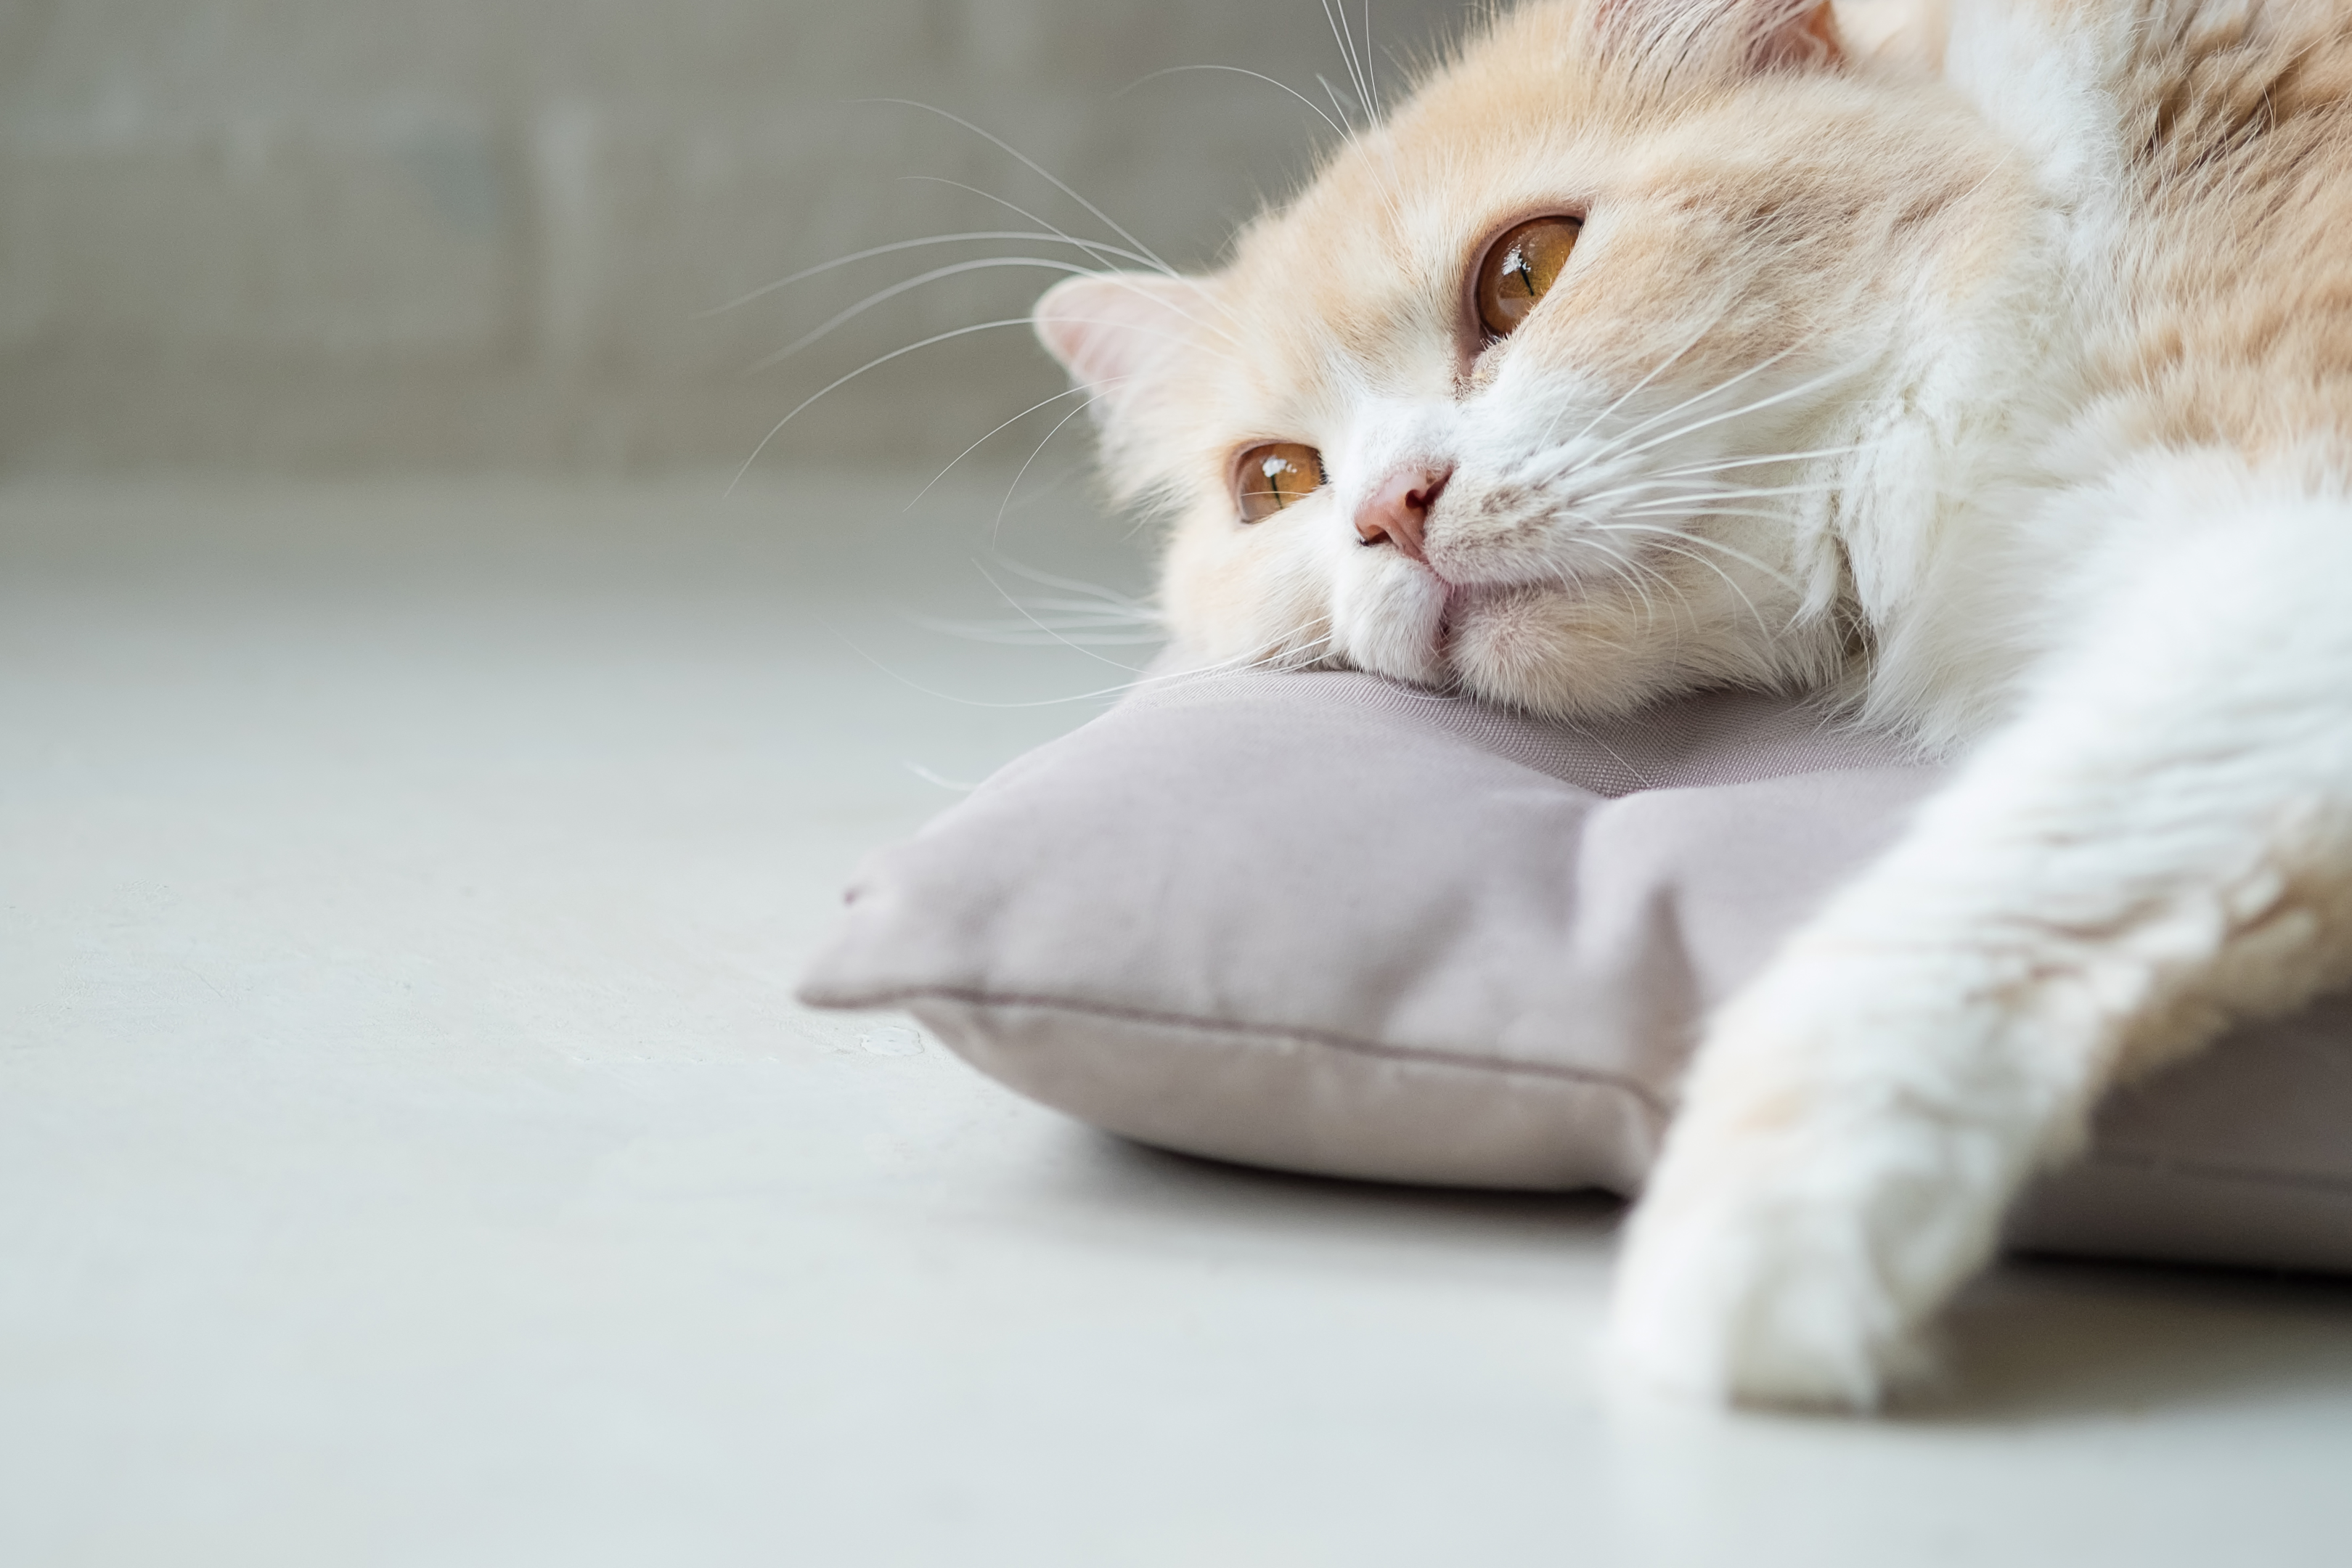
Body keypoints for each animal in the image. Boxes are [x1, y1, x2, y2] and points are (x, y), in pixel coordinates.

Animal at [1040, 0, 2352, 1419]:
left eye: (1526, 274)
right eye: (1275, 483)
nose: (1390, 509)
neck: (2046, 200)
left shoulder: (2281, 583)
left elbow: (1987, 887)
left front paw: (1752, 1244)